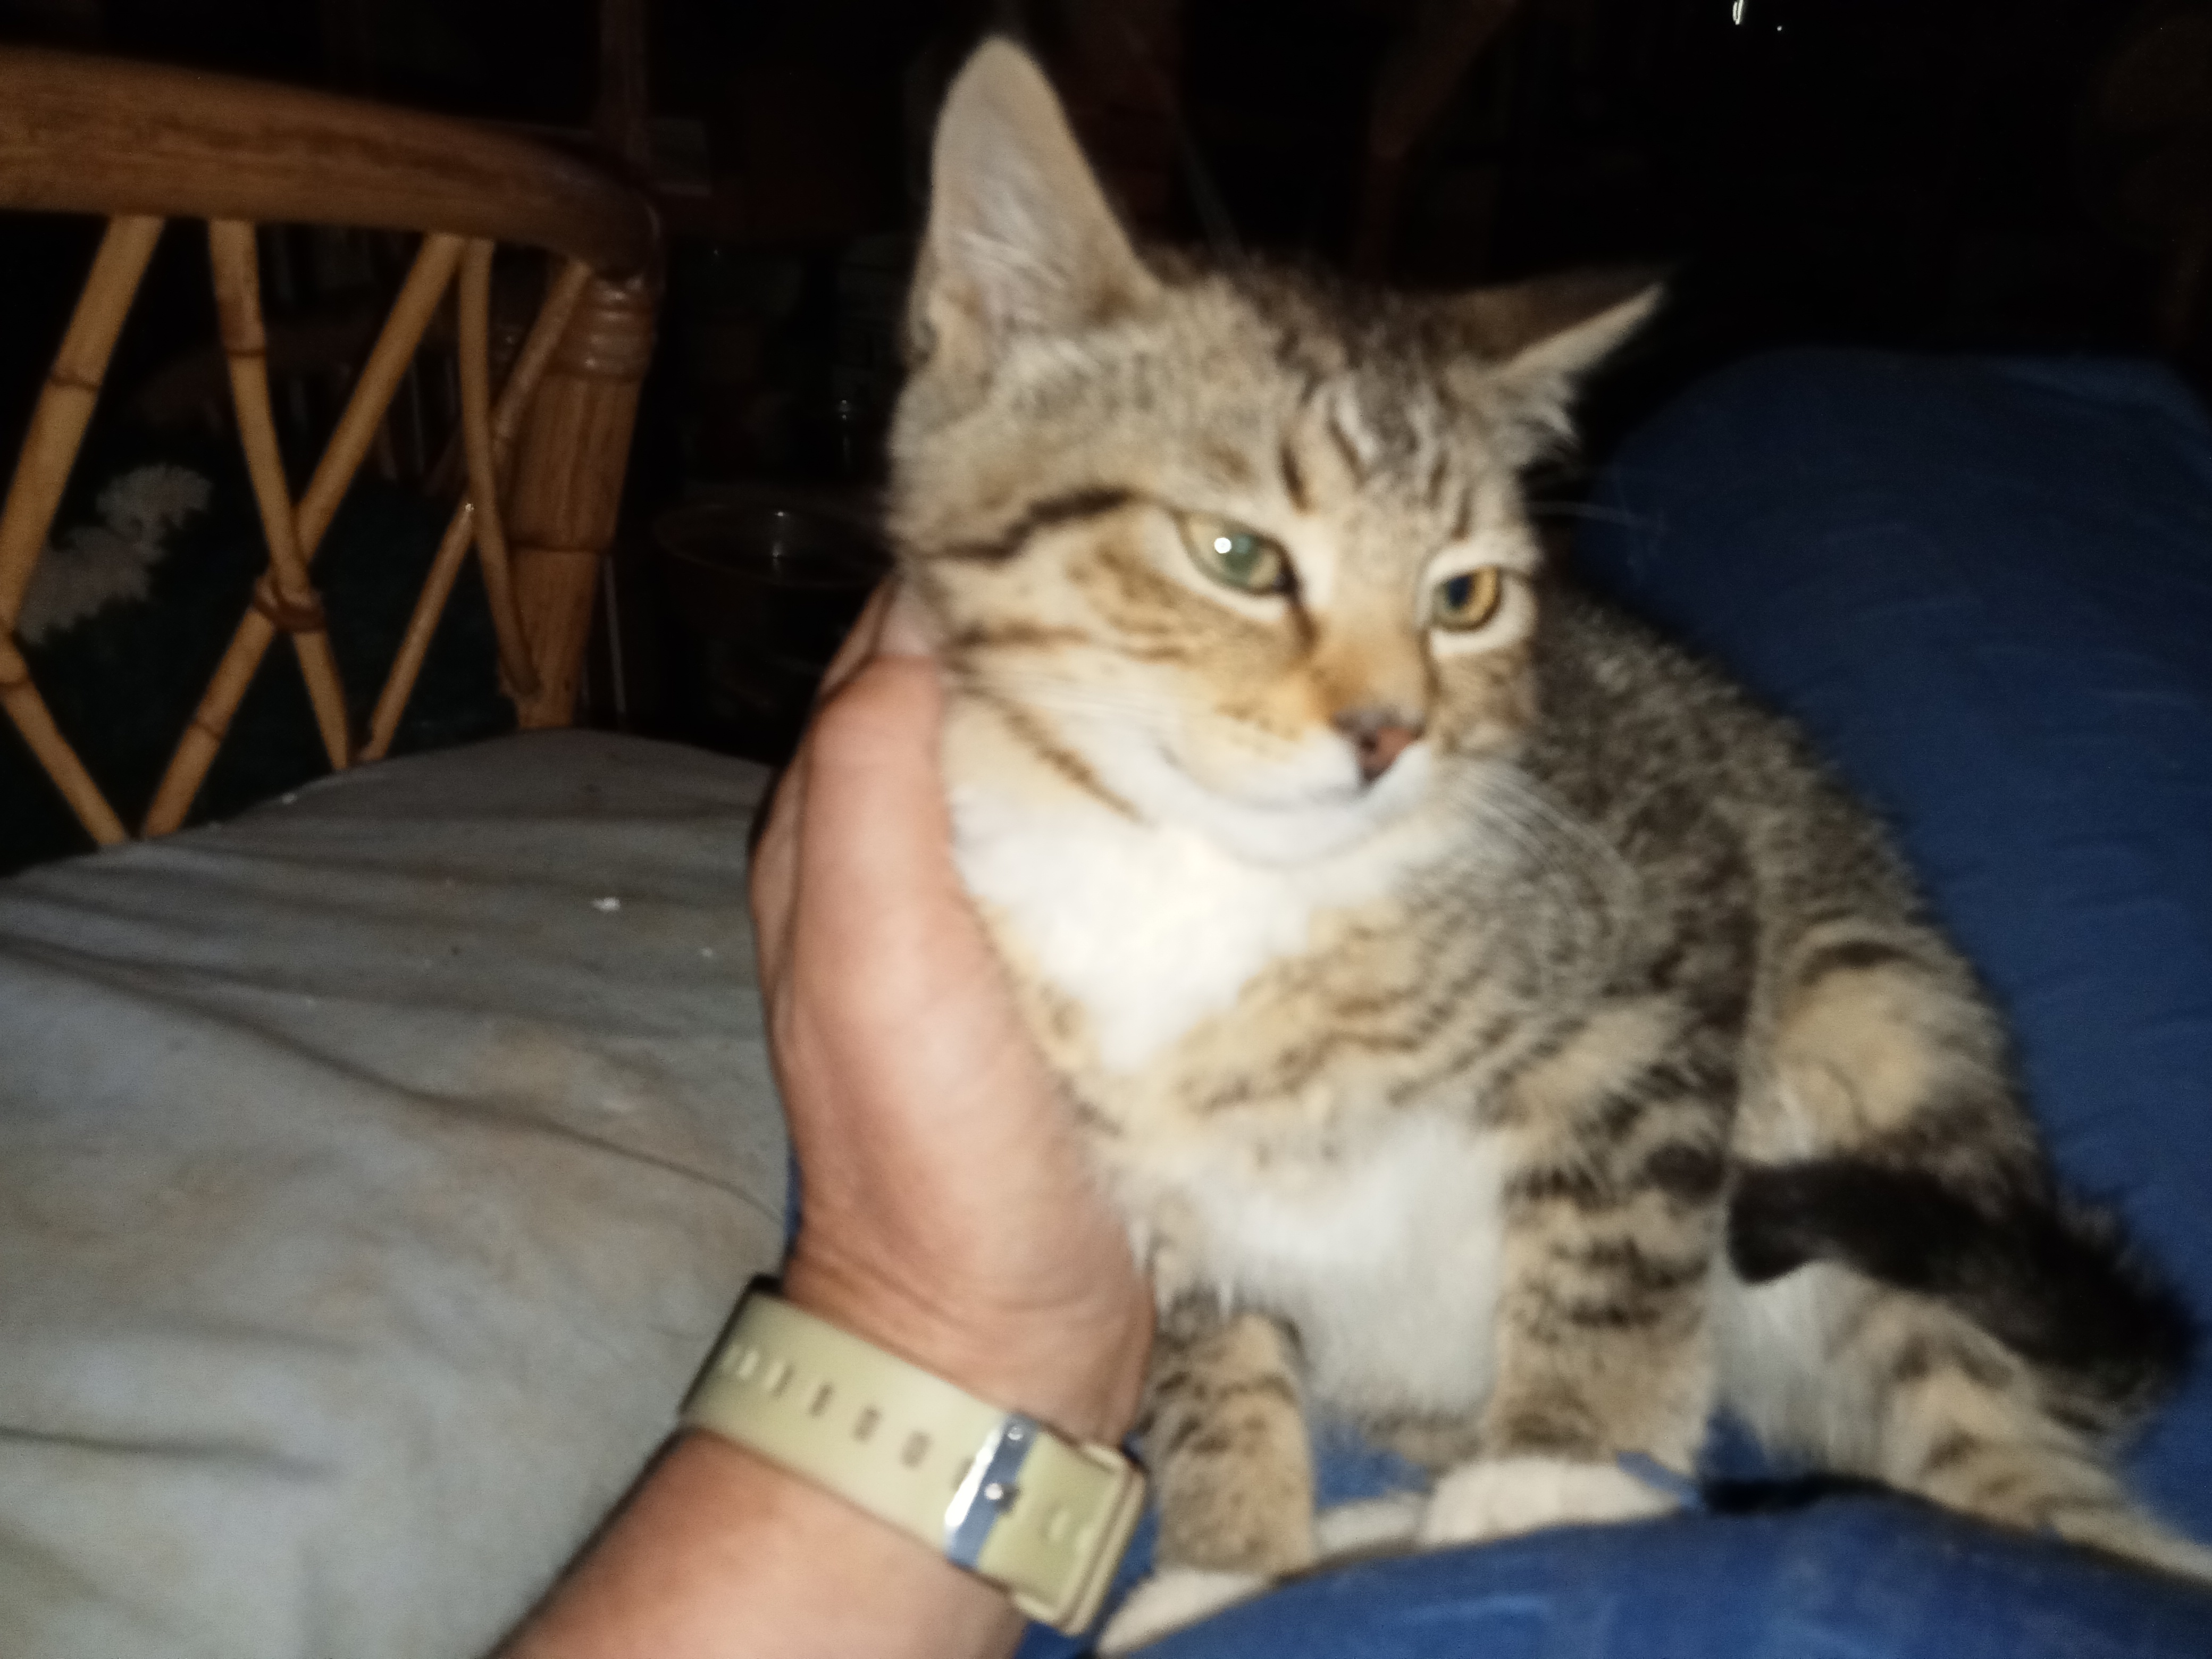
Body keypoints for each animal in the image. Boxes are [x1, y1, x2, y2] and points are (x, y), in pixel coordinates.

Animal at [888, 39, 2211, 1650]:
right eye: (1238, 557)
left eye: (1465, 597)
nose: (1387, 731)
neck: (1222, 888)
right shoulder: (1145, 1169)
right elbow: (1209, 1349)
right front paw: (1230, 1561)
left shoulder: (1673, 937)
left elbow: (1618, 1232)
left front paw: (1564, 1472)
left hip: (1871, 1066)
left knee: (2004, 1459)